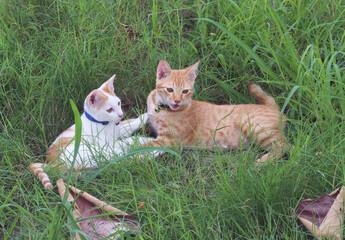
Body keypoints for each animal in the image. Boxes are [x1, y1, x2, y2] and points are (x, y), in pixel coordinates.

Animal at [143, 60, 288, 165]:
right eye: (170, 89)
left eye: (185, 91)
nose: (177, 101)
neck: (161, 108)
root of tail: (273, 107)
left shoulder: (167, 139)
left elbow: (143, 146)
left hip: (254, 127)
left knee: (284, 147)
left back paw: (260, 162)